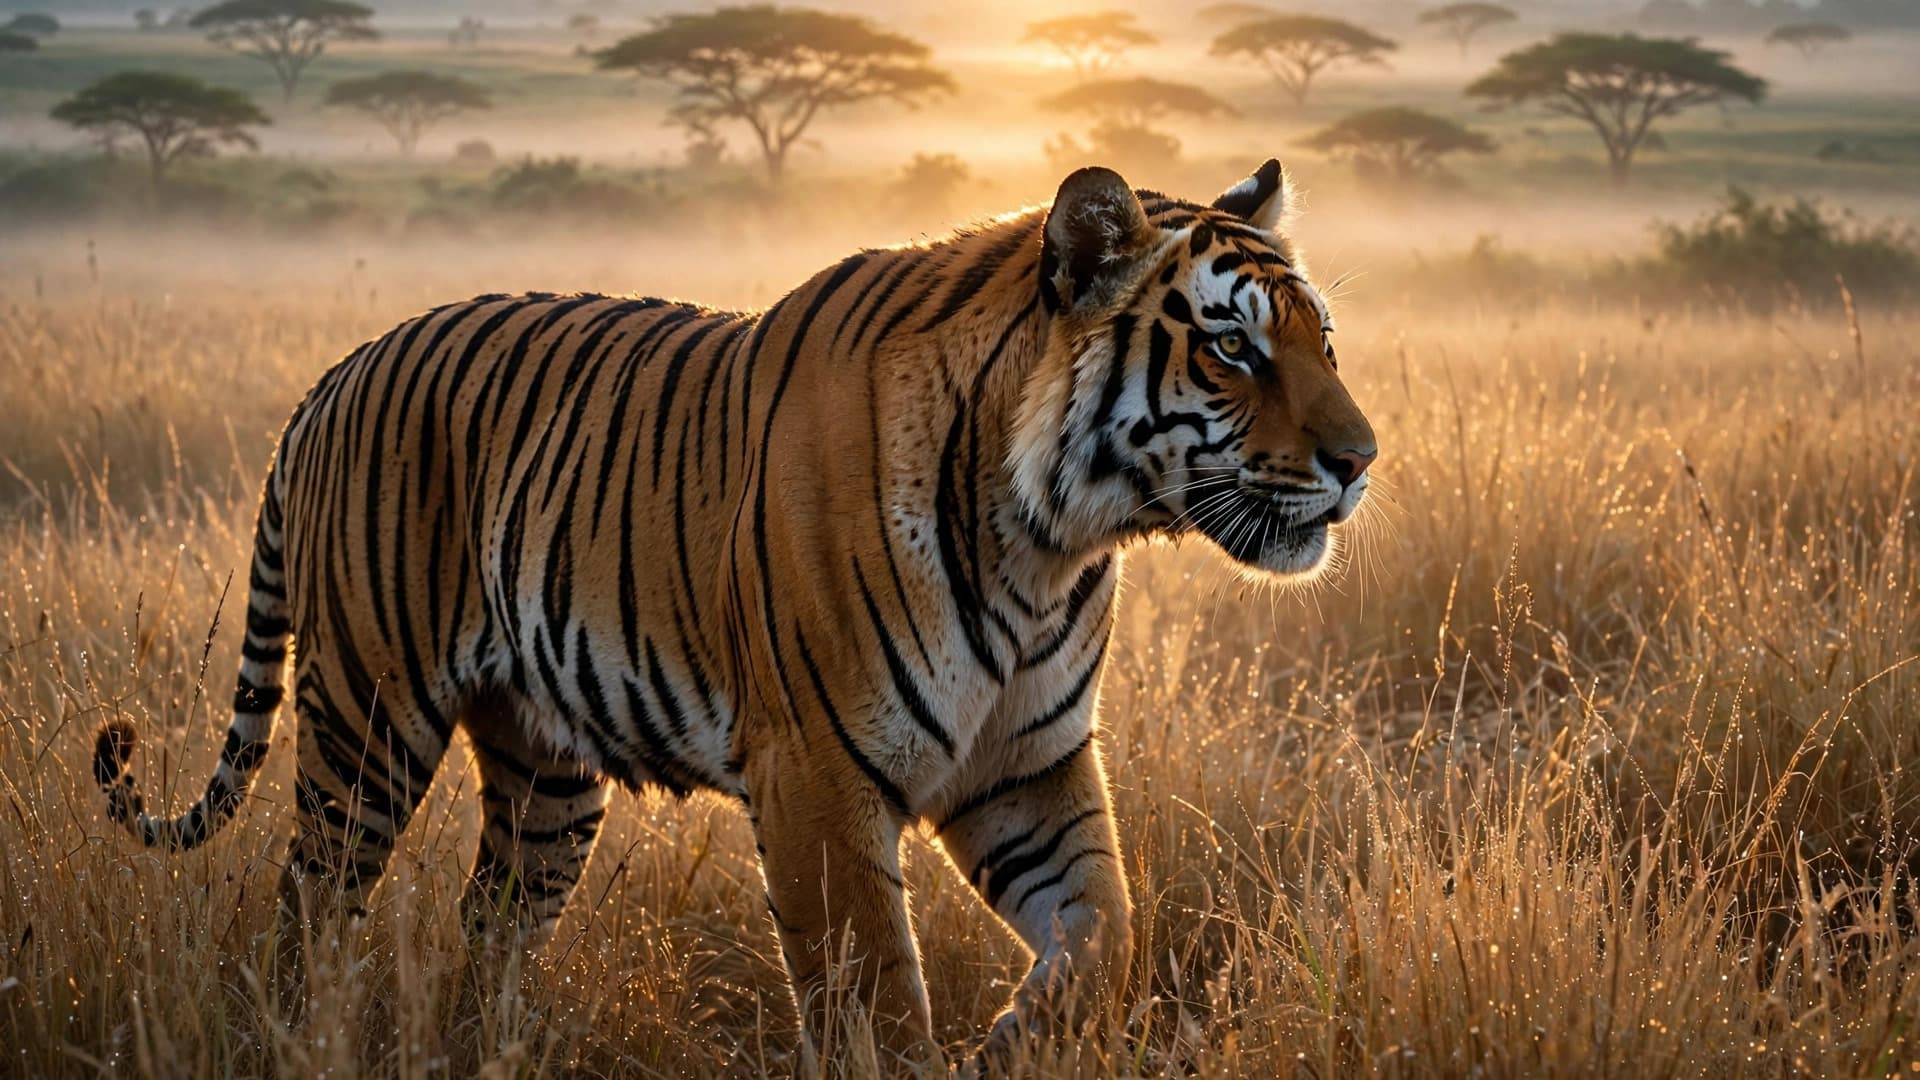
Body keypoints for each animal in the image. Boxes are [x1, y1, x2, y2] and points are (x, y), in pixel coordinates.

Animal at [91, 159, 1376, 1066]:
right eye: (1231, 349)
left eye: (1323, 339)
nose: (1362, 461)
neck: (1051, 541)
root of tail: (336, 370)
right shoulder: (819, 773)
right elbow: (875, 1008)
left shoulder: (1028, 764)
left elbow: (1106, 941)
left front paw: (1016, 1045)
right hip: (369, 721)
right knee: (304, 911)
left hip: (546, 774)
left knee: (489, 923)